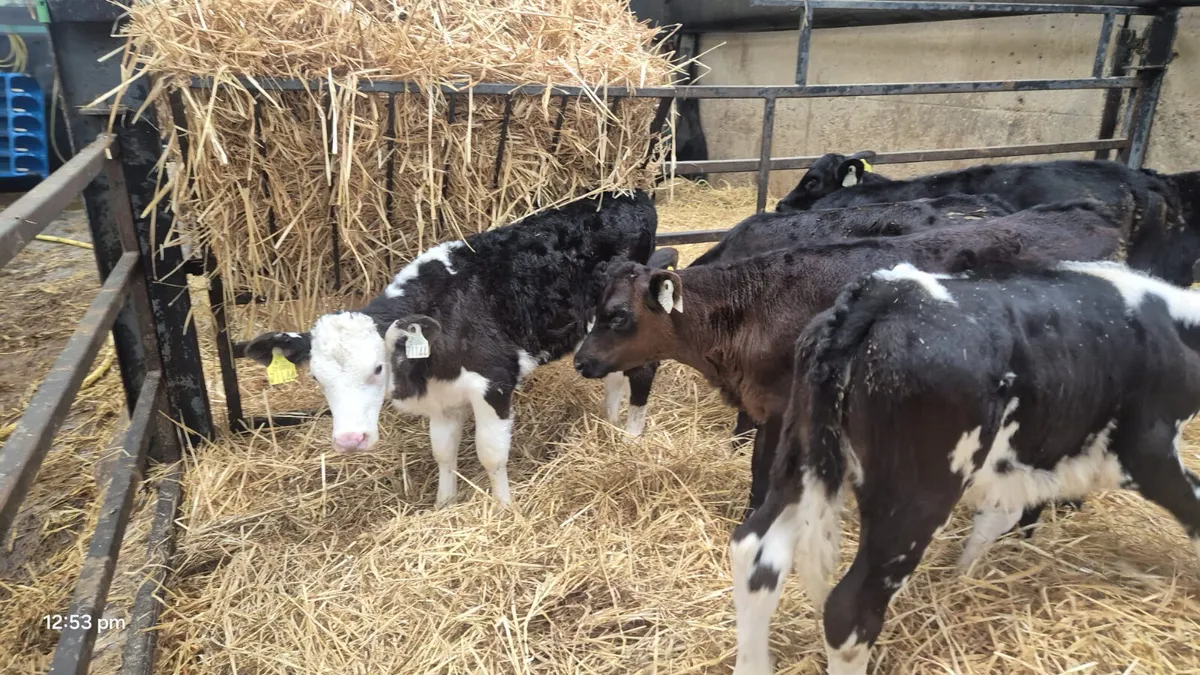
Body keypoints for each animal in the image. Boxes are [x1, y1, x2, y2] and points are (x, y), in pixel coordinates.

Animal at [244, 191, 661, 508]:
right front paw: (444, 503)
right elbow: (443, 452)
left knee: (642, 369)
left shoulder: (494, 382)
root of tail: (630, 193)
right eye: (316, 376)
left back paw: (630, 436)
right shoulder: (442, 396)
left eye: (378, 368)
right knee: (613, 375)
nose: (350, 441)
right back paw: (609, 423)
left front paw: (504, 507)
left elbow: (491, 453)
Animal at [574, 200, 1123, 513]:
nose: (580, 361)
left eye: (617, 315)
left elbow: (761, 473)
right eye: (594, 306)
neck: (749, 308)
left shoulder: (779, 406)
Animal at [729, 260, 1200, 675]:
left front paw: (961, 577)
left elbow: (997, 517)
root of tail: (886, 293)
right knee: (850, 612)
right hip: (917, 494)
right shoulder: (1149, 450)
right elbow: (1195, 504)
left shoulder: (1013, 462)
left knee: (757, 551)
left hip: (800, 457)